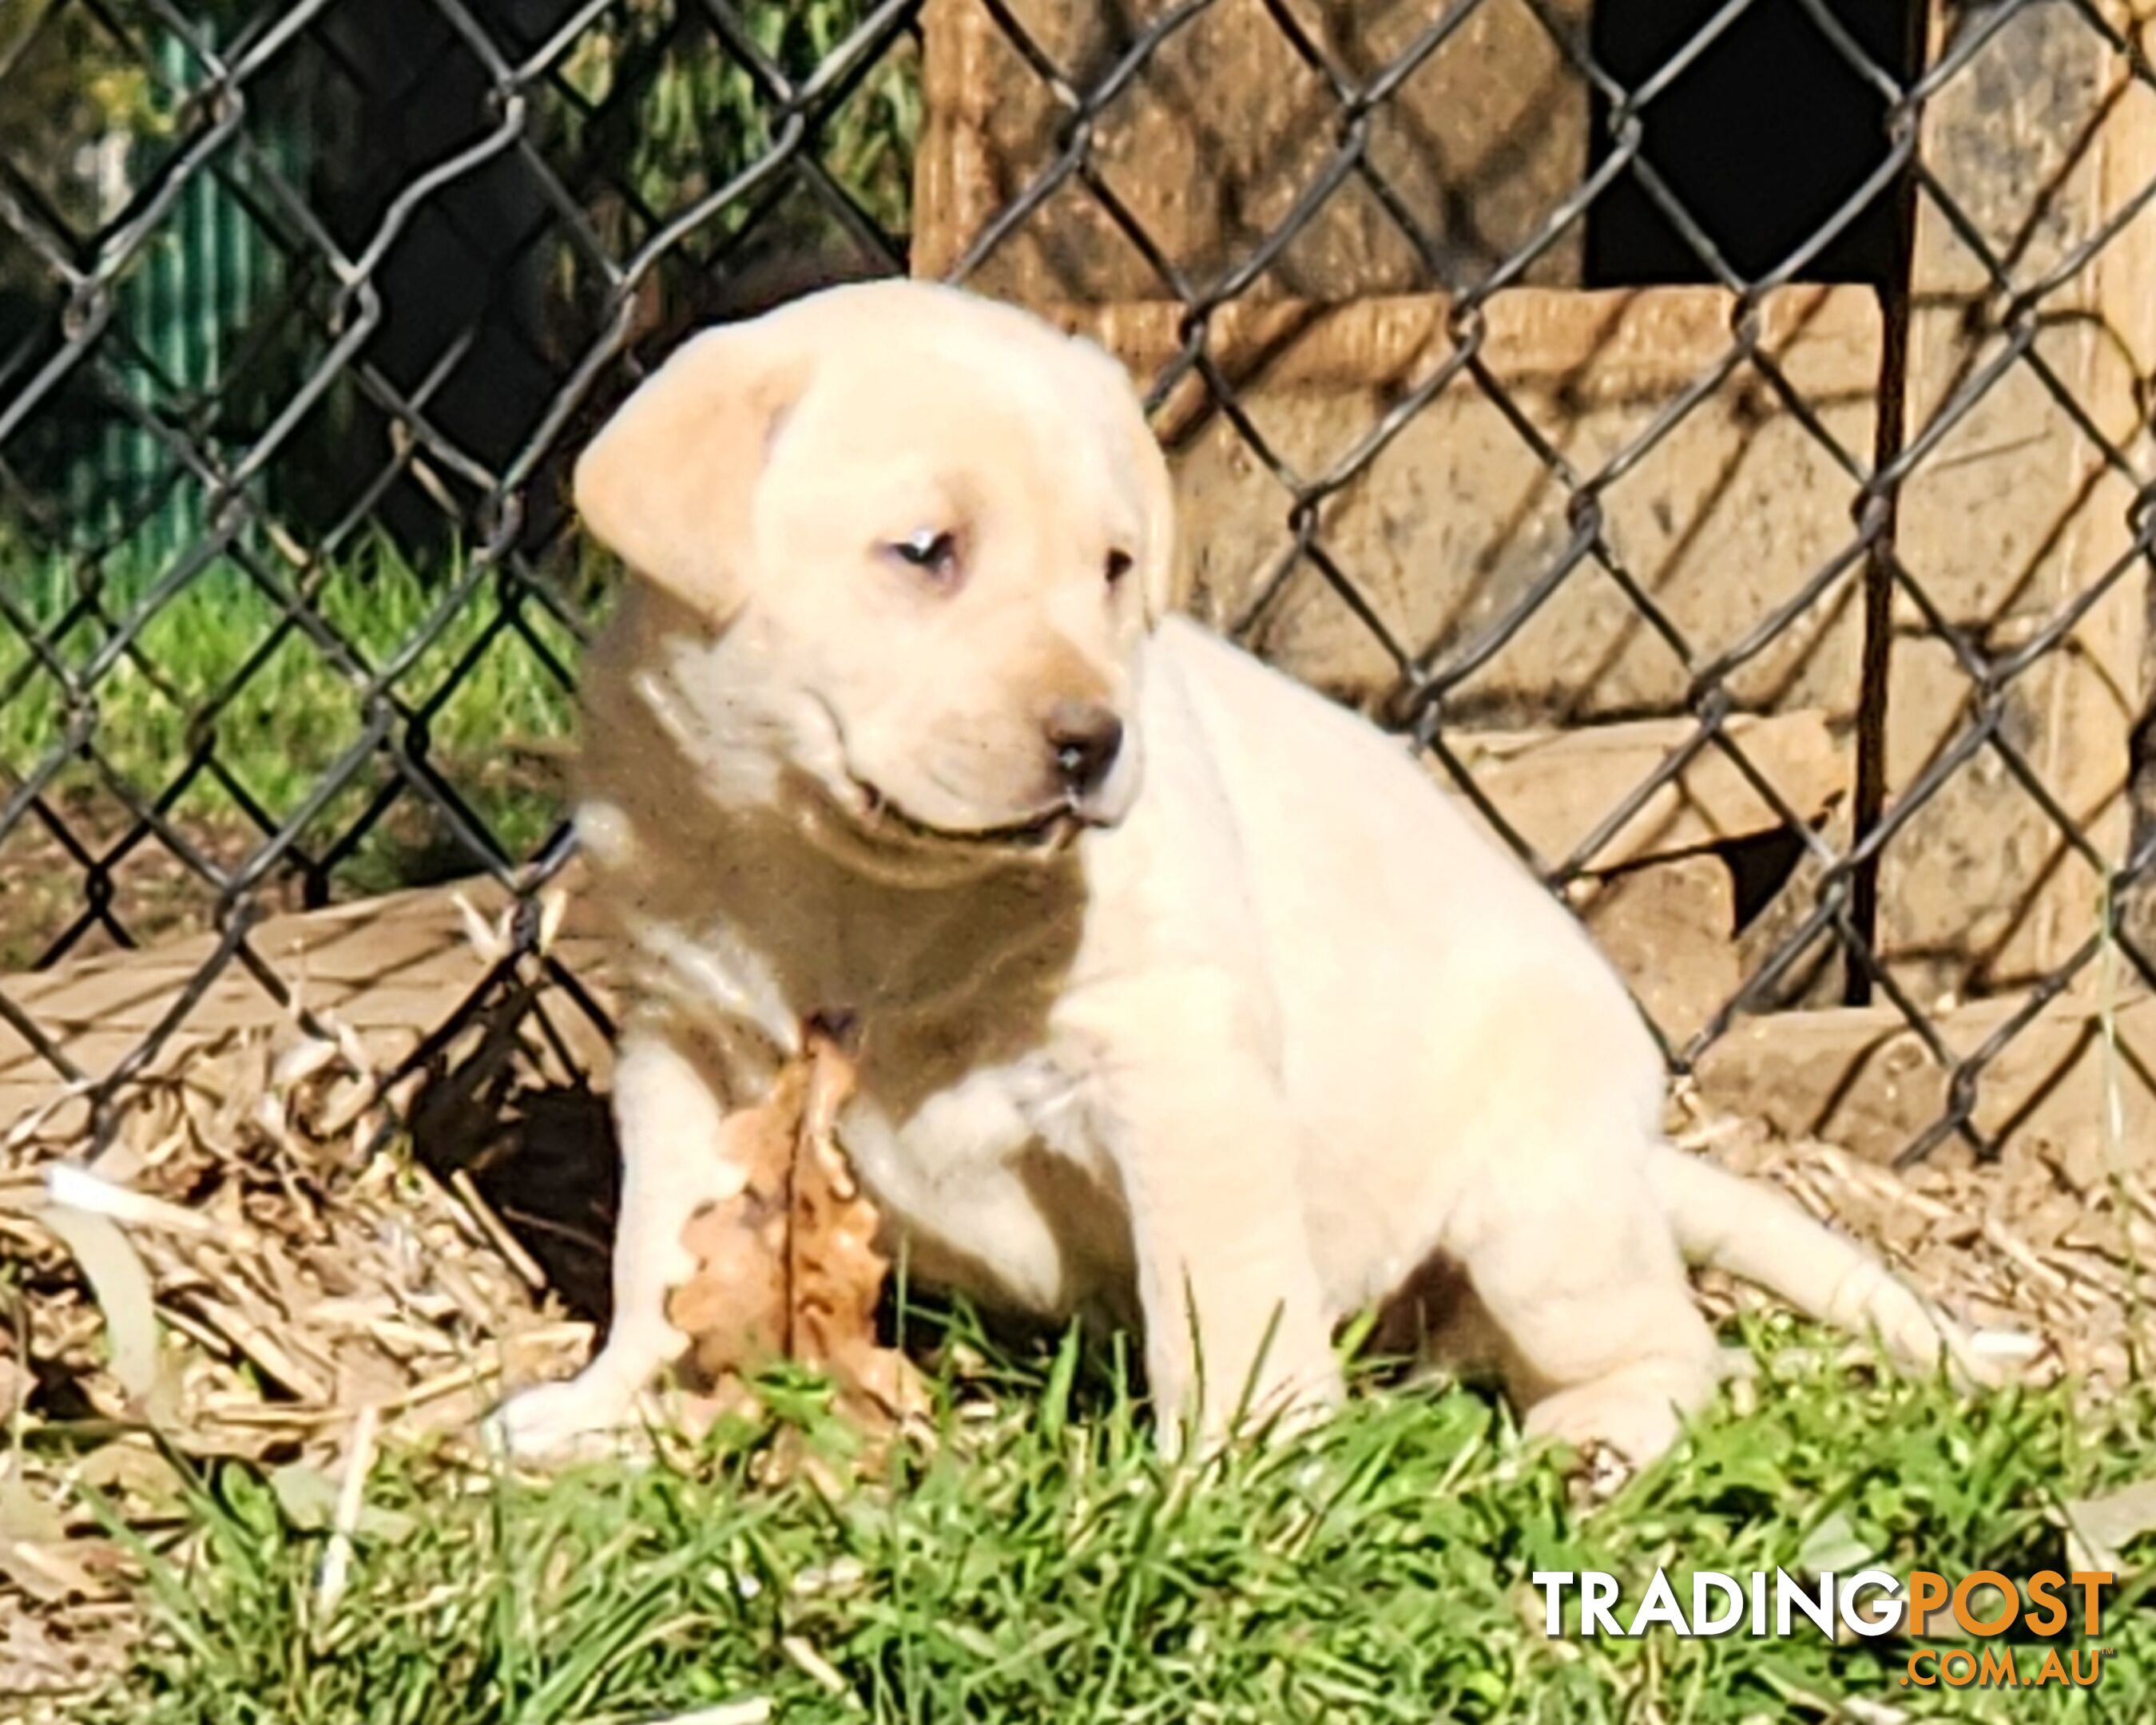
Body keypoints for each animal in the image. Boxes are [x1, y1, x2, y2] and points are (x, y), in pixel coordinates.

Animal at [495, 276, 1966, 1466]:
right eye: (923, 553)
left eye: (1112, 568)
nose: (1092, 742)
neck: (861, 891)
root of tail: (1636, 1154)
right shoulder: (683, 1043)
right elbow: (655, 1254)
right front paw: (607, 1410)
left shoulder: (1175, 1061)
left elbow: (1220, 1295)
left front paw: (1243, 1477)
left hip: (1541, 1220)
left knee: (1666, 1345)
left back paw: (1591, 1442)